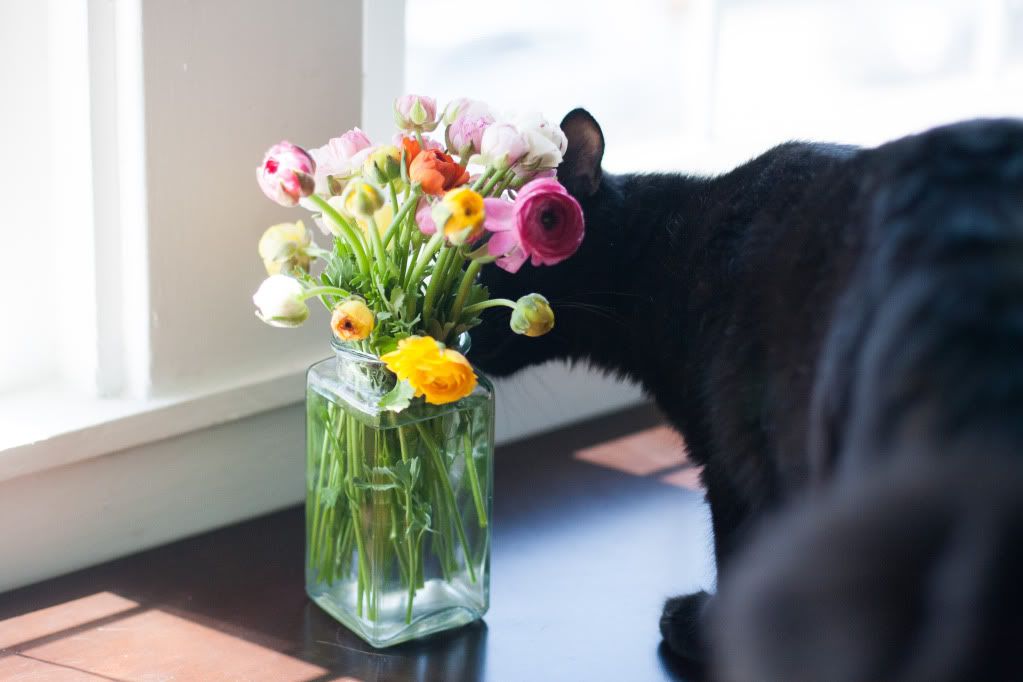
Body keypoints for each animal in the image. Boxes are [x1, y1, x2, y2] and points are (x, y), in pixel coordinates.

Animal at [470, 109, 1023, 670]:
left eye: (492, 259)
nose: (456, 337)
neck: (666, 259)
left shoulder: (732, 465)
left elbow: (736, 553)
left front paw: (704, 631)